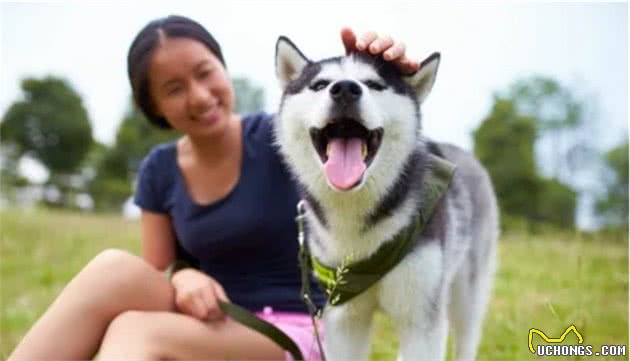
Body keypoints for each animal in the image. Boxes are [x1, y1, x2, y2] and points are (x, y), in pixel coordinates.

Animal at [274, 37, 502, 360]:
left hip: (466, 293)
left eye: (374, 84)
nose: (345, 89)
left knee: (466, 336)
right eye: (319, 85)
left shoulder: (421, 319)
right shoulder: (344, 319)